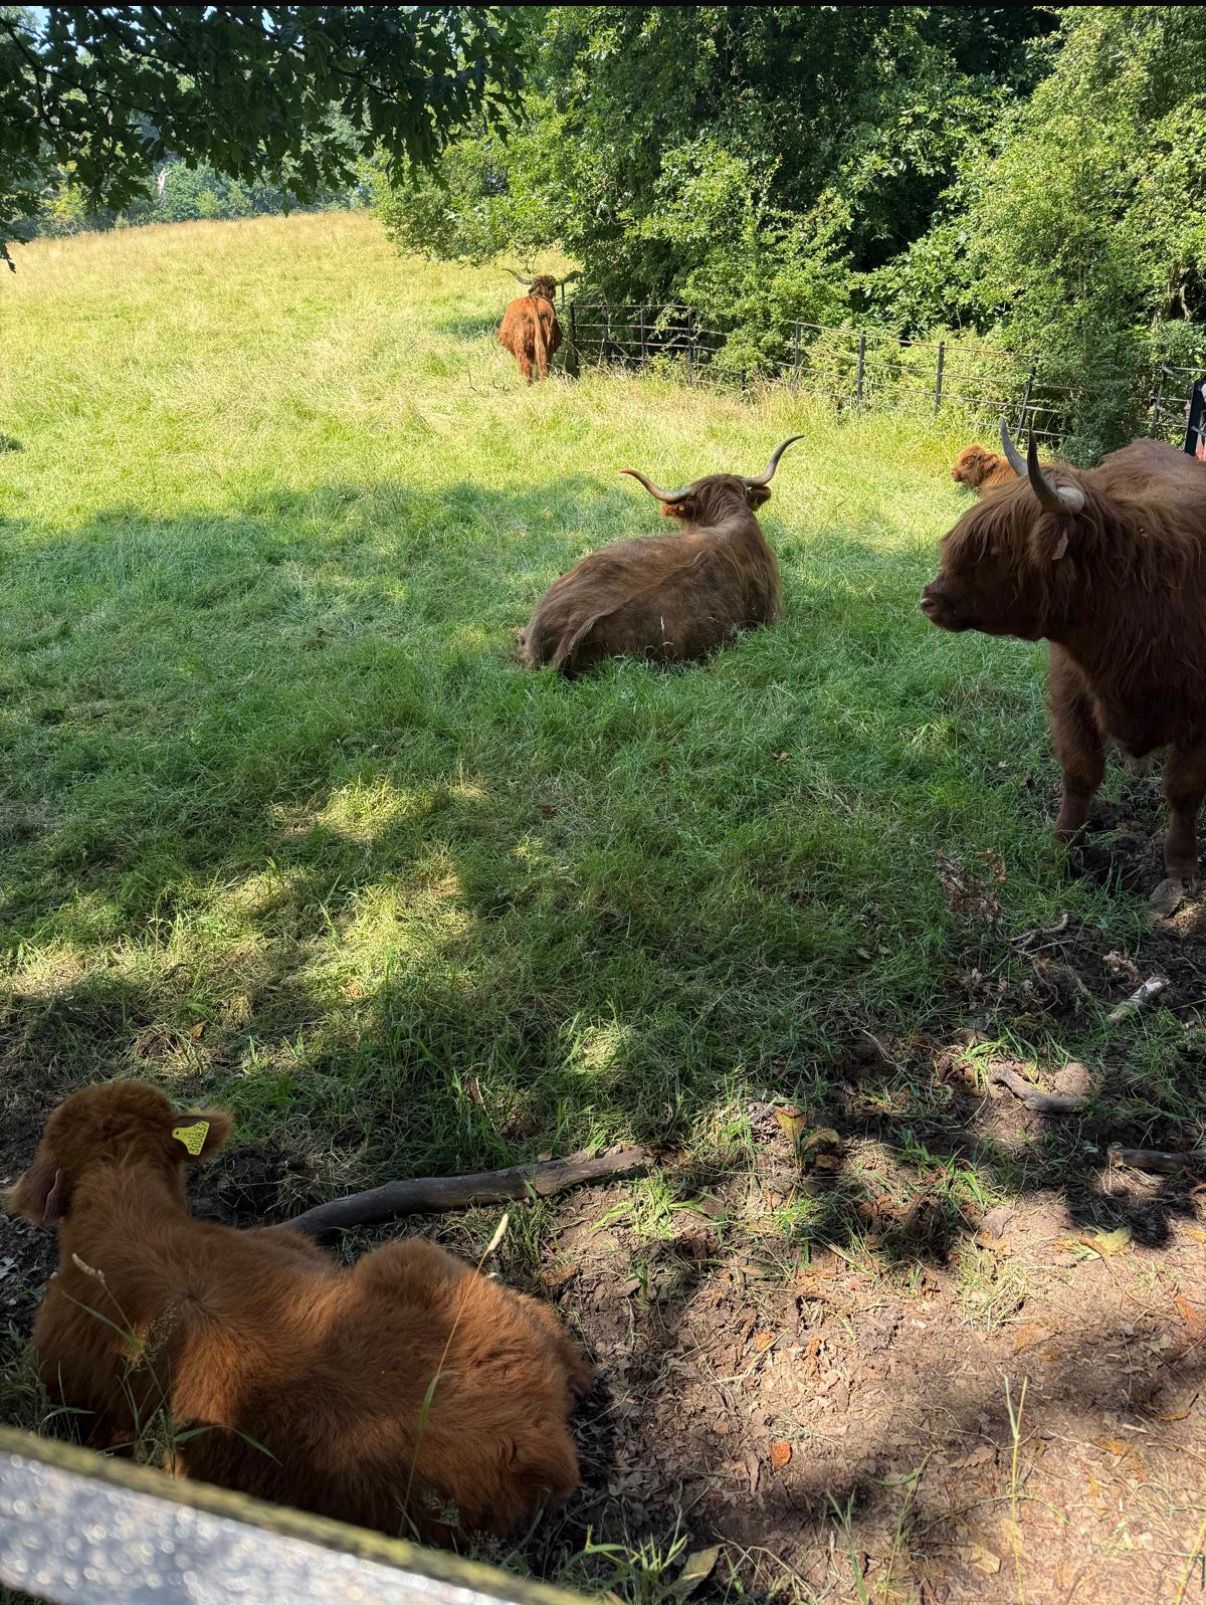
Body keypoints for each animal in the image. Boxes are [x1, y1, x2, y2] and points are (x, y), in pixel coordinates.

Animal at [921, 418, 1206, 913]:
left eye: (997, 550)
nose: (929, 599)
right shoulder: (1070, 689)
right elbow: (1080, 772)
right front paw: (1061, 846)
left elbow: (1185, 794)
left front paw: (1179, 871)